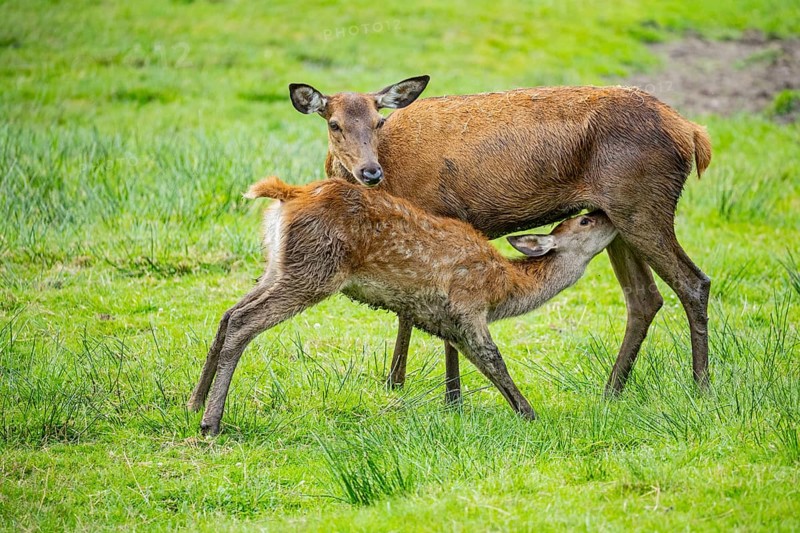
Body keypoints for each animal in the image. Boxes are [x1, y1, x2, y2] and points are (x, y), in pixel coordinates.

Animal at [187, 176, 618, 435]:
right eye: (583, 222)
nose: (606, 213)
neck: (505, 289)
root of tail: (286, 194)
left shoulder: (445, 321)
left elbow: (474, 363)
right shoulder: (467, 304)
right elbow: (495, 360)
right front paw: (529, 413)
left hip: (278, 266)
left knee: (226, 314)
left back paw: (193, 403)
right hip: (315, 271)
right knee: (243, 321)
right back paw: (212, 421)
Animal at [287, 76, 712, 402]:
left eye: (378, 122)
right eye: (334, 124)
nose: (369, 171)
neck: (394, 175)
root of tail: (693, 134)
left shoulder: (440, 220)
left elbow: (425, 313)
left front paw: (441, 395)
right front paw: (408, 385)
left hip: (642, 204)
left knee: (693, 282)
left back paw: (701, 387)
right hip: (615, 217)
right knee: (644, 297)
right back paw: (612, 390)